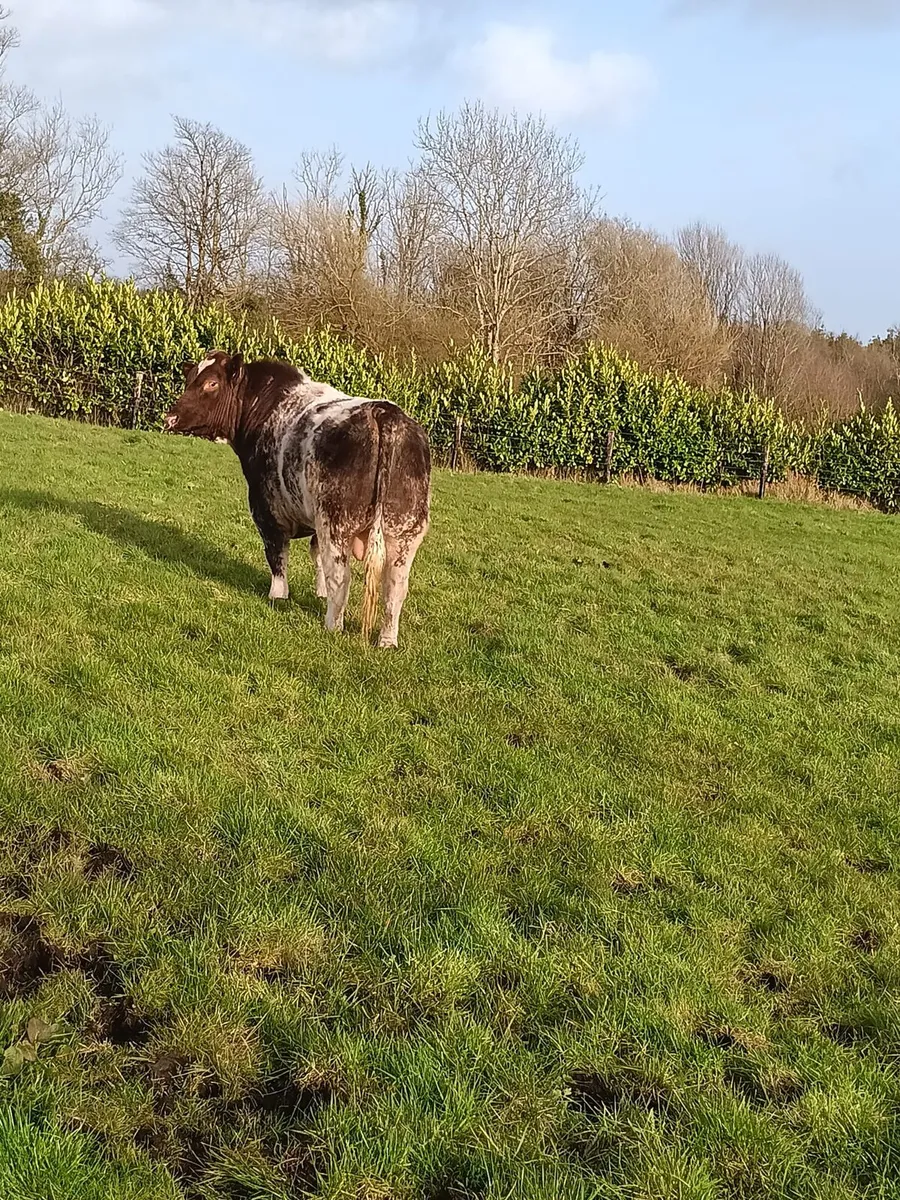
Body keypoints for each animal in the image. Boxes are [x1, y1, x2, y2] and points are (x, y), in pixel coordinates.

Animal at [163, 351, 431, 648]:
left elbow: (277, 555)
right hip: (405, 530)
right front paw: (319, 593)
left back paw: (332, 627)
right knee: (395, 586)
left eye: (211, 383)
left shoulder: (267, 511)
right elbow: (315, 555)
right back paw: (386, 641)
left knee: (342, 576)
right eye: (190, 378)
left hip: (335, 523)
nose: (170, 417)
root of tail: (383, 412)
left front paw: (278, 596)